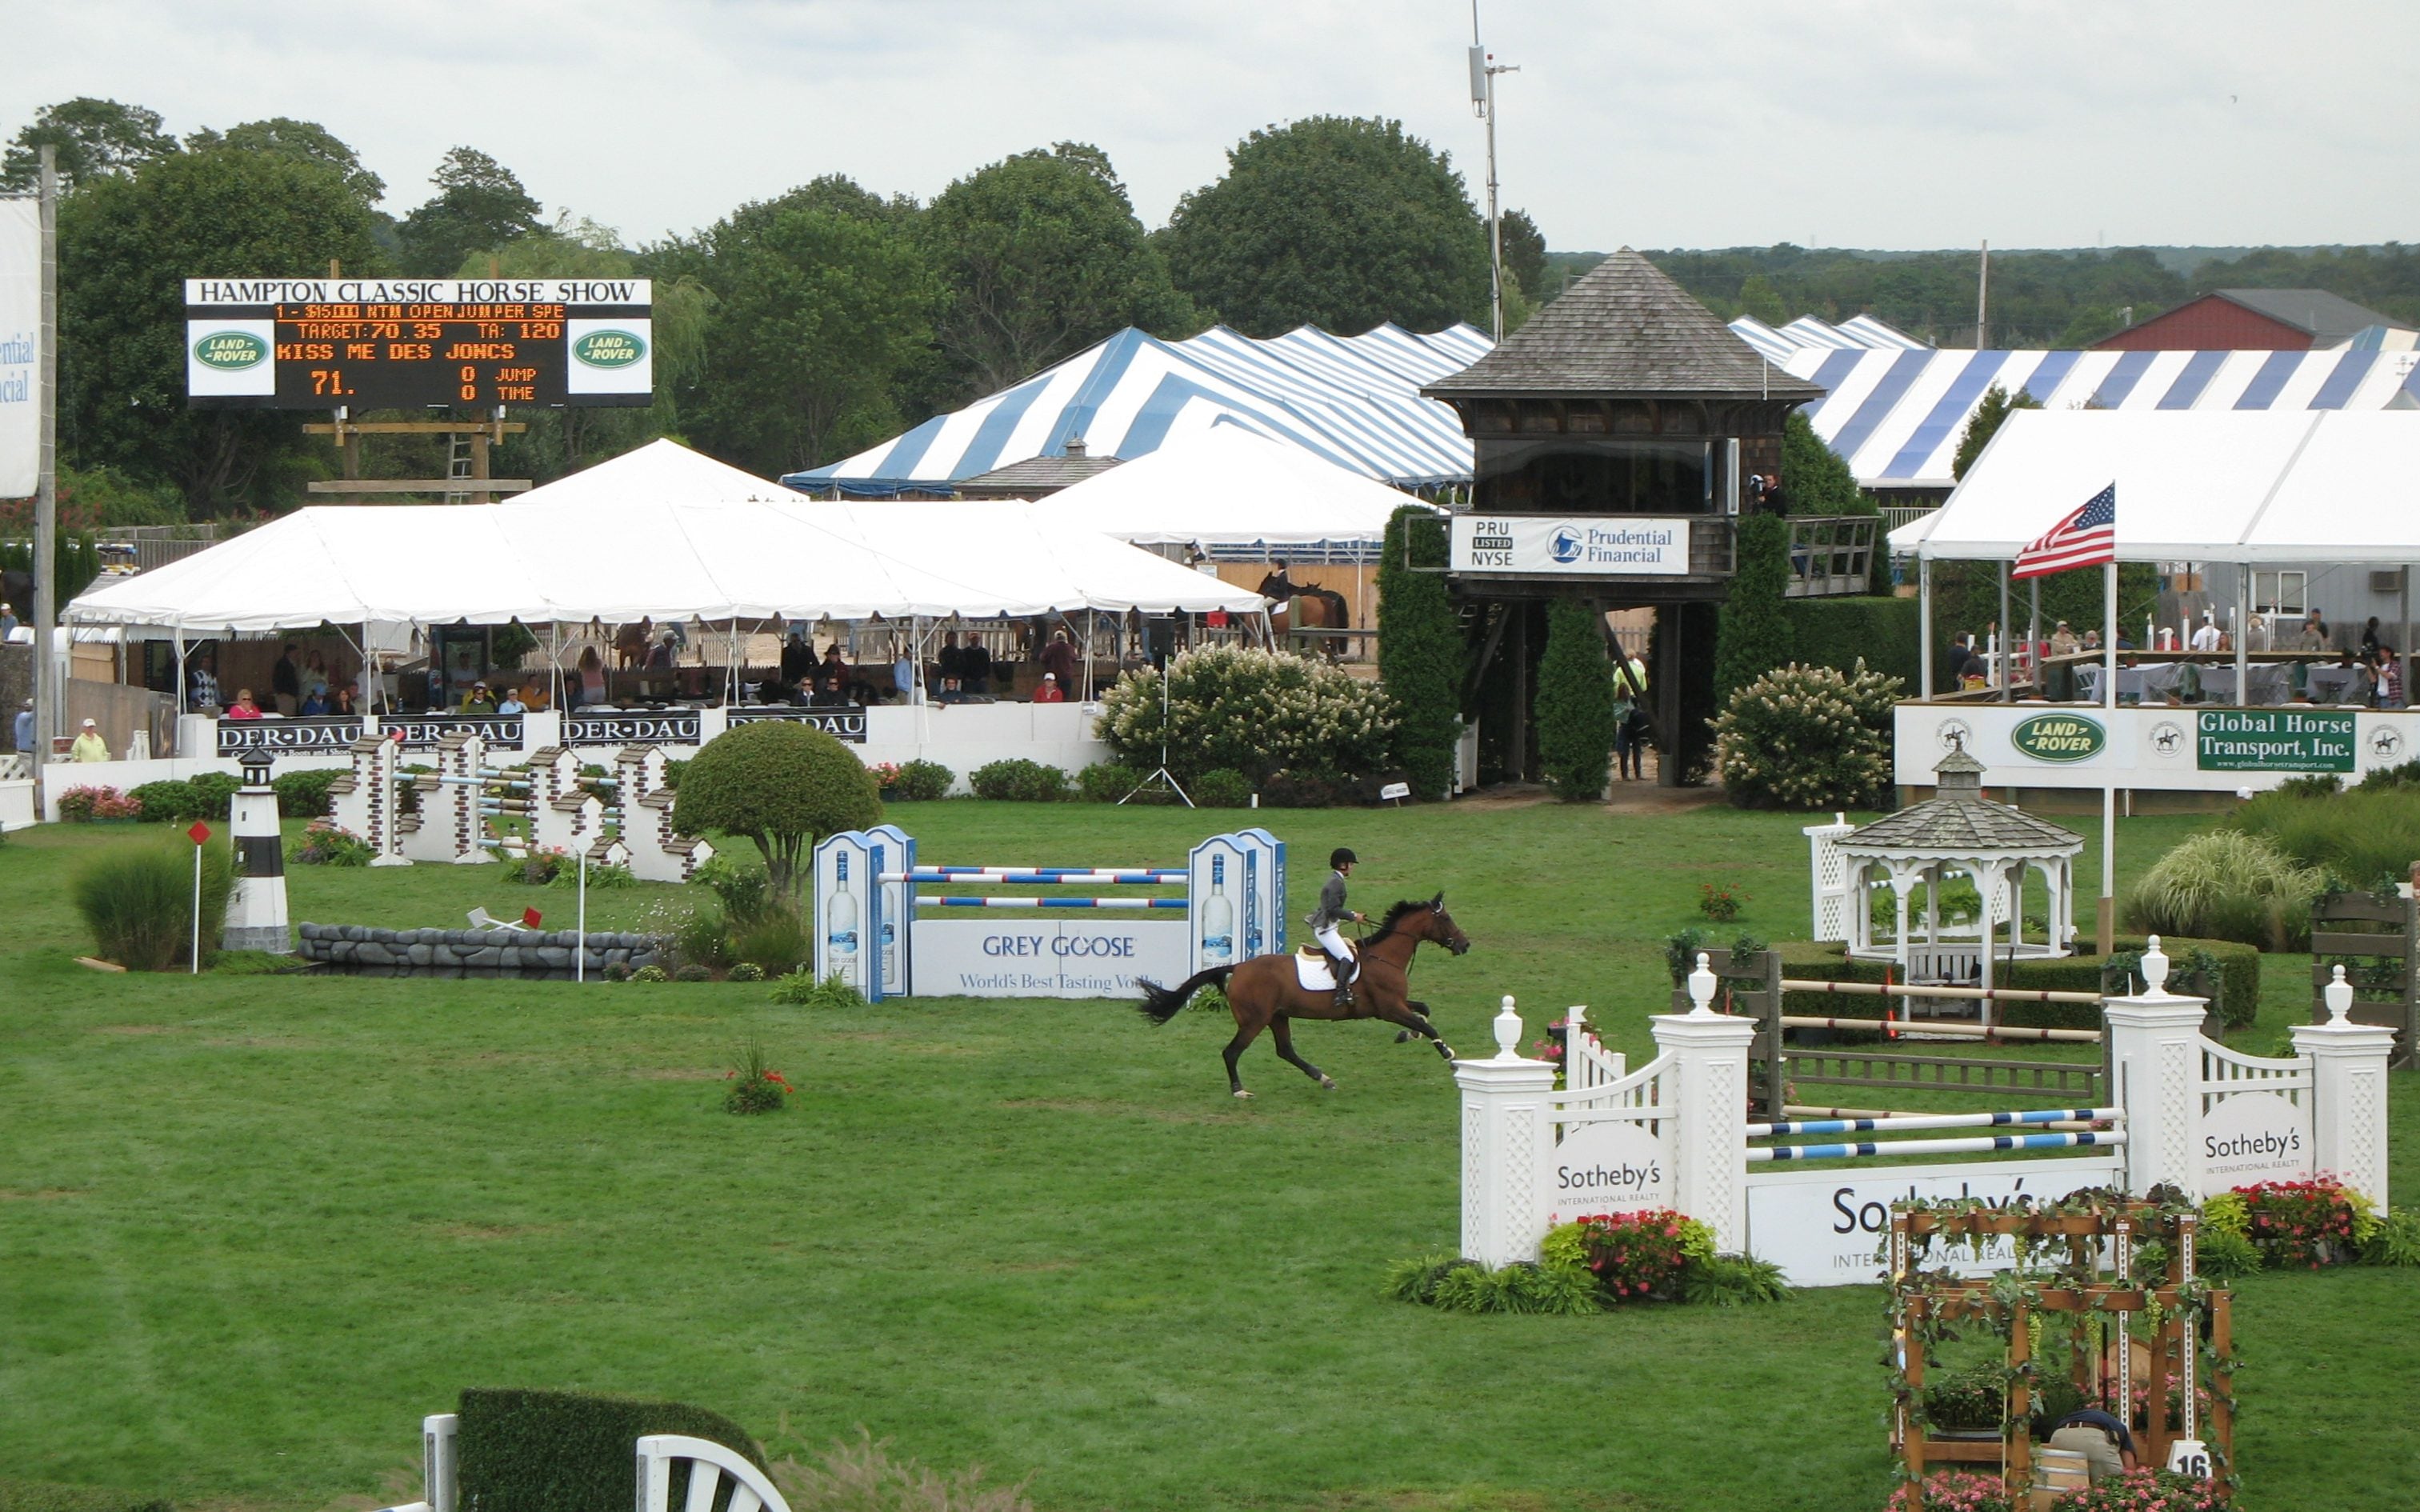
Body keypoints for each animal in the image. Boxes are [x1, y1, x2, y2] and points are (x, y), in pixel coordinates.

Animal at [1137, 894, 1462, 1098]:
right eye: (1446, 918)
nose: (1465, 944)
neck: (1384, 957)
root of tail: (1238, 967)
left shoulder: (1396, 1005)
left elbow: (1424, 1012)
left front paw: (1408, 1036)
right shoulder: (1388, 1008)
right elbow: (1427, 1025)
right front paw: (1449, 1056)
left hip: (1278, 1016)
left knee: (1286, 1051)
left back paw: (1324, 1079)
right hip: (1254, 1020)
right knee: (1232, 1052)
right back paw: (1239, 1090)